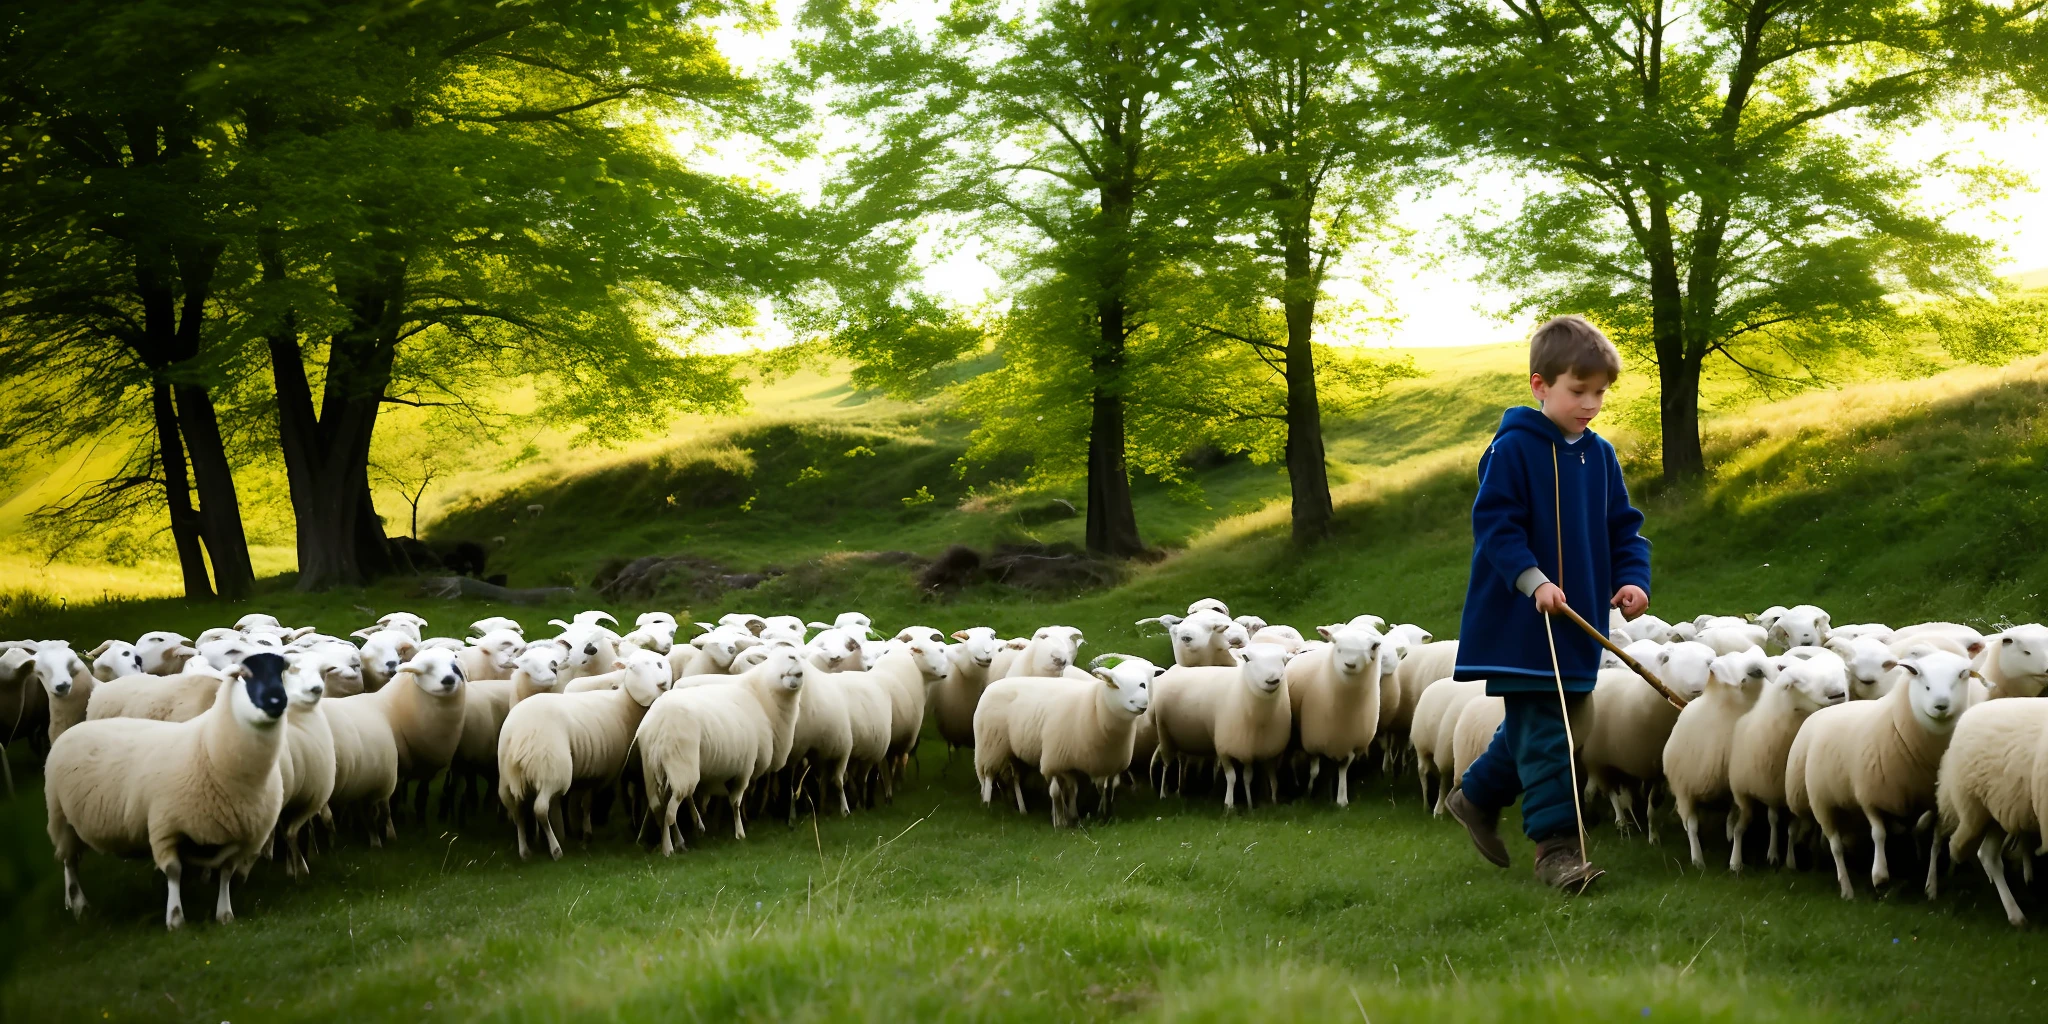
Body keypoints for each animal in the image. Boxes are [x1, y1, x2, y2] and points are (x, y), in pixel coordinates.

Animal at [44, 655, 290, 929]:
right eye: (245, 675)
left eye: (281, 671)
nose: (277, 702)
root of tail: (72, 730)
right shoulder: (165, 824)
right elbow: (174, 870)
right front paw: (175, 917)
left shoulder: (240, 836)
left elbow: (226, 872)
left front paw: (224, 913)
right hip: (61, 817)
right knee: (69, 863)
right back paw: (78, 904)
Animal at [493, 647, 663, 856]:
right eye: (632, 669)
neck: (623, 707)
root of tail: (519, 735)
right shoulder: (600, 773)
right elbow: (587, 804)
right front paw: (585, 835)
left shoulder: (588, 773)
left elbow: (580, 804)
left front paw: (578, 833)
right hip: (551, 770)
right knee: (540, 808)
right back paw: (555, 849)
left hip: (507, 777)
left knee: (517, 811)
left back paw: (525, 850)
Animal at [970, 651, 1155, 827]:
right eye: (1115, 685)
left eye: (1144, 684)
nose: (1143, 704)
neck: (1094, 708)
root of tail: (993, 685)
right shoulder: (1053, 761)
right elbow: (1057, 792)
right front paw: (1060, 821)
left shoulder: (1107, 764)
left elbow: (1102, 789)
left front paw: (1101, 815)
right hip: (991, 746)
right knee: (987, 776)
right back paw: (987, 805)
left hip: (1014, 752)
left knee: (1015, 779)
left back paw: (1022, 809)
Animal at [1728, 647, 1859, 872]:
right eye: (1793, 682)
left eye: (1841, 672)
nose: (1837, 693)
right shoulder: (1740, 791)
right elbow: (1742, 825)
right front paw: (1735, 861)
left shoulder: (1792, 797)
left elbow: (1790, 828)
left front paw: (1790, 860)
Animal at [1794, 651, 1966, 901]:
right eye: (1925, 685)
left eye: (1956, 683)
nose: (1941, 706)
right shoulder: (1871, 795)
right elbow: (1879, 834)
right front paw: (1880, 876)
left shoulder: (1934, 803)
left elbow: (1933, 840)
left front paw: (1930, 885)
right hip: (1822, 802)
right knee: (1836, 846)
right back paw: (1846, 887)